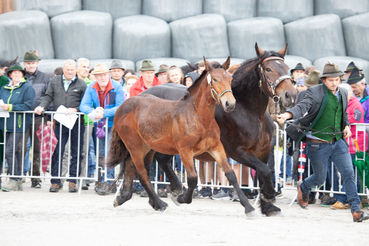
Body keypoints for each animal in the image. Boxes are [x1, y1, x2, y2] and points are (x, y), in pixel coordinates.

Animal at [106, 56, 256, 212]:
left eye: (230, 78)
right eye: (214, 79)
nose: (230, 104)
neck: (198, 118)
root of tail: (122, 106)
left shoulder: (215, 147)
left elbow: (231, 175)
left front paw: (248, 207)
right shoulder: (185, 151)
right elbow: (192, 178)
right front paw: (180, 198)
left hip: (146, 147)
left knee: (134, 168)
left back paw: (127, 198)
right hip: (134, 146)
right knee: (142, 173)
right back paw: (159, 203)